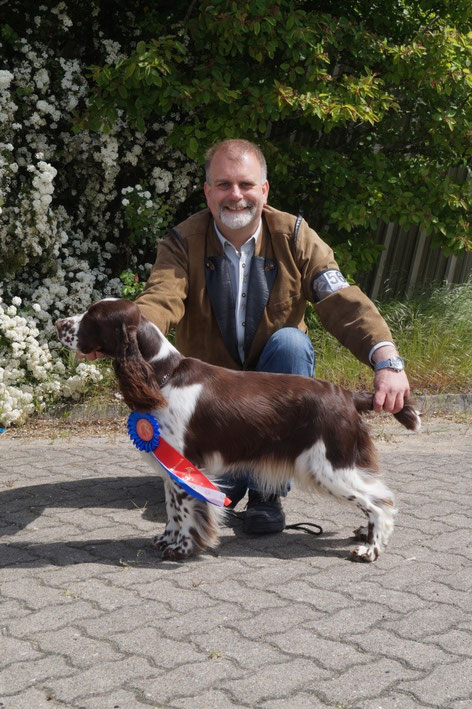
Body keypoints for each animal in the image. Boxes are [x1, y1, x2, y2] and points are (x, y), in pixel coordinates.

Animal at [55, 296, 420, 560]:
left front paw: (182, 549)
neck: (162, 376)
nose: (58, 324)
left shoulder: (188, 463)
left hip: (327, 467)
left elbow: (185, 510)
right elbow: (172, 510)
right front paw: (167, 540)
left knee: (378, 502)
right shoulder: (173, 467)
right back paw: (365, 534)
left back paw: (370, 548)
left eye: (93, 317)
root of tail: (347, 395)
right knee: (381, 495)